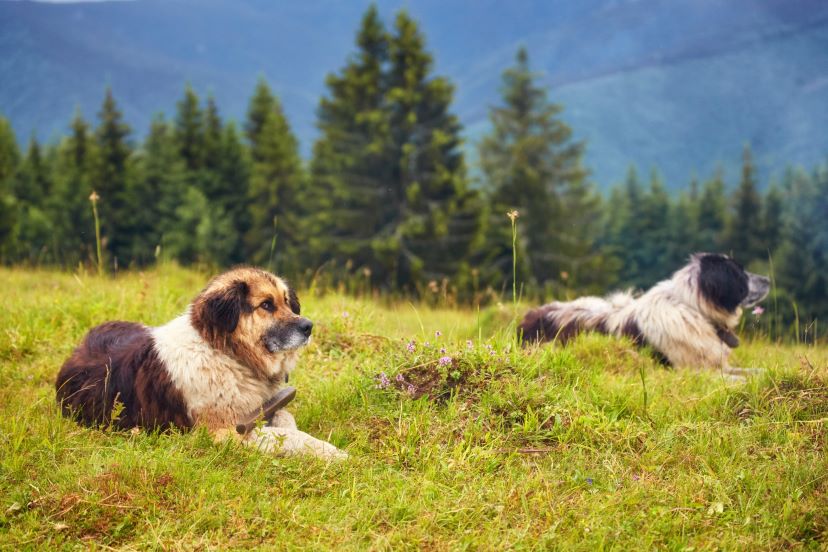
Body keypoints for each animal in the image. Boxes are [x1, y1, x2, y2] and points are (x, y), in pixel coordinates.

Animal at [55, 268, 346, 462]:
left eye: (287, 302)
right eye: (266, 305)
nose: (308, 326)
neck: (227, 354)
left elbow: (286, 419)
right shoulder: (226, 431)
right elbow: (286, 436)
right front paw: (330, 451)